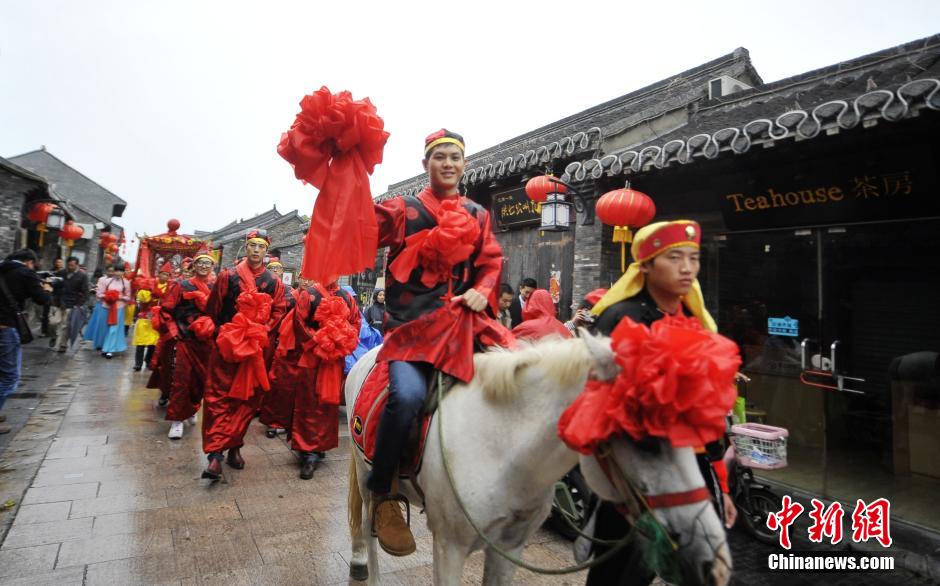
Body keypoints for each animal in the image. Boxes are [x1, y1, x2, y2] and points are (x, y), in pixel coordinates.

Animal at [346, 334, 736, 584]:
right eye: (645, 440)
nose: (714, 564)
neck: (504, 447)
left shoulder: (509, 546)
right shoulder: (449, 547)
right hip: (367, 474)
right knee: (369, 522)